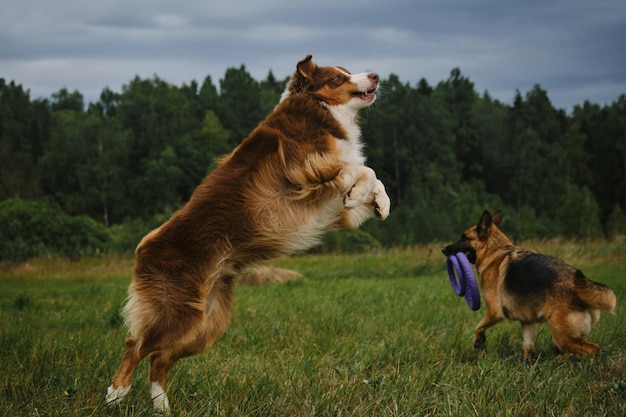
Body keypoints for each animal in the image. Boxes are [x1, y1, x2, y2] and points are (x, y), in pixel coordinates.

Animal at [442, 210, 612, 360]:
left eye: (464, 238)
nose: (443, 249)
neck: (495, 252)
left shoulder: (494, 312)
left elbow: (478, 326)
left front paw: (479, 343)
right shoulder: (527, 321)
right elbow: (528, 347)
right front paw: (528, 364)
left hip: (562, 336)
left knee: (593, 349)